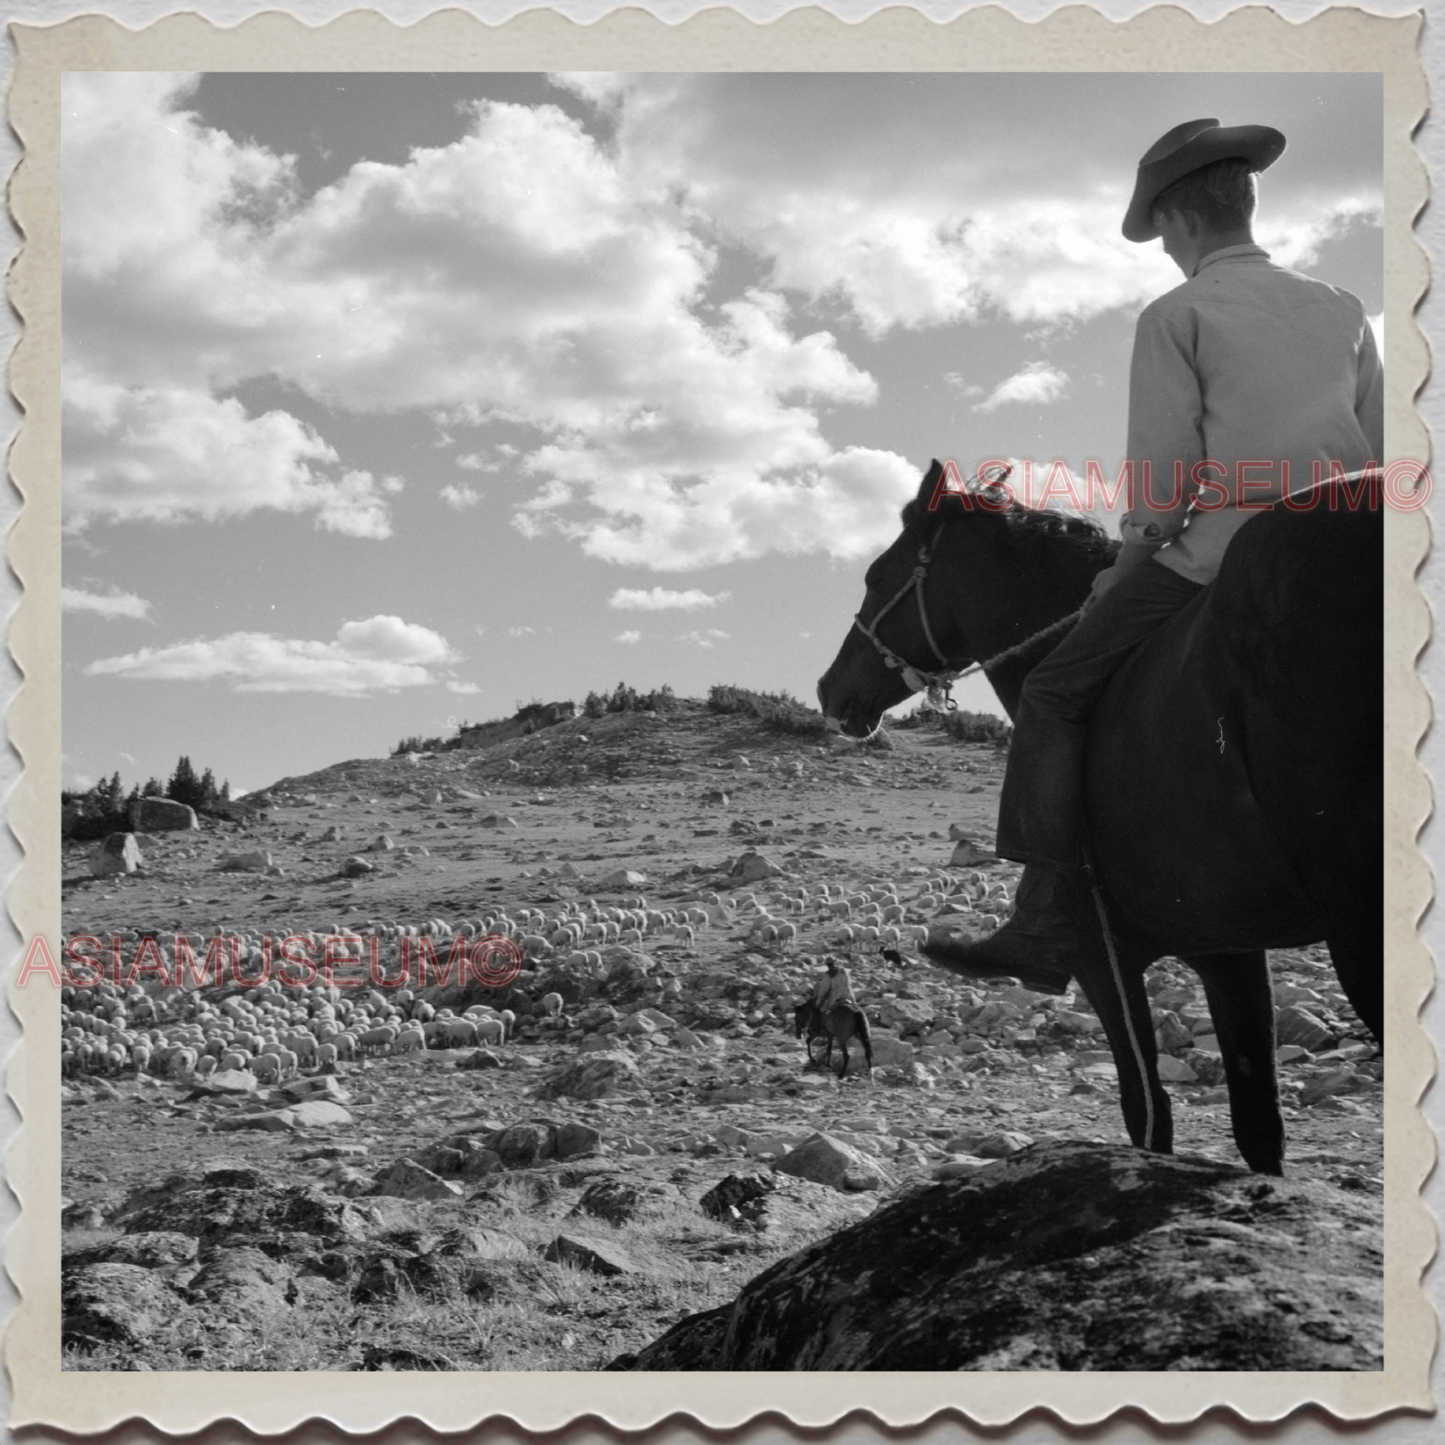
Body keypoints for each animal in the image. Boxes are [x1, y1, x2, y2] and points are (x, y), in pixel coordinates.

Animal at [820, 462, 1381, 1173]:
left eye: (875, 576)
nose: (828, 690)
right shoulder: (1227, 949)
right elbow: (1258, 1124)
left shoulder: (1100, 957)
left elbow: (1147, 1116)